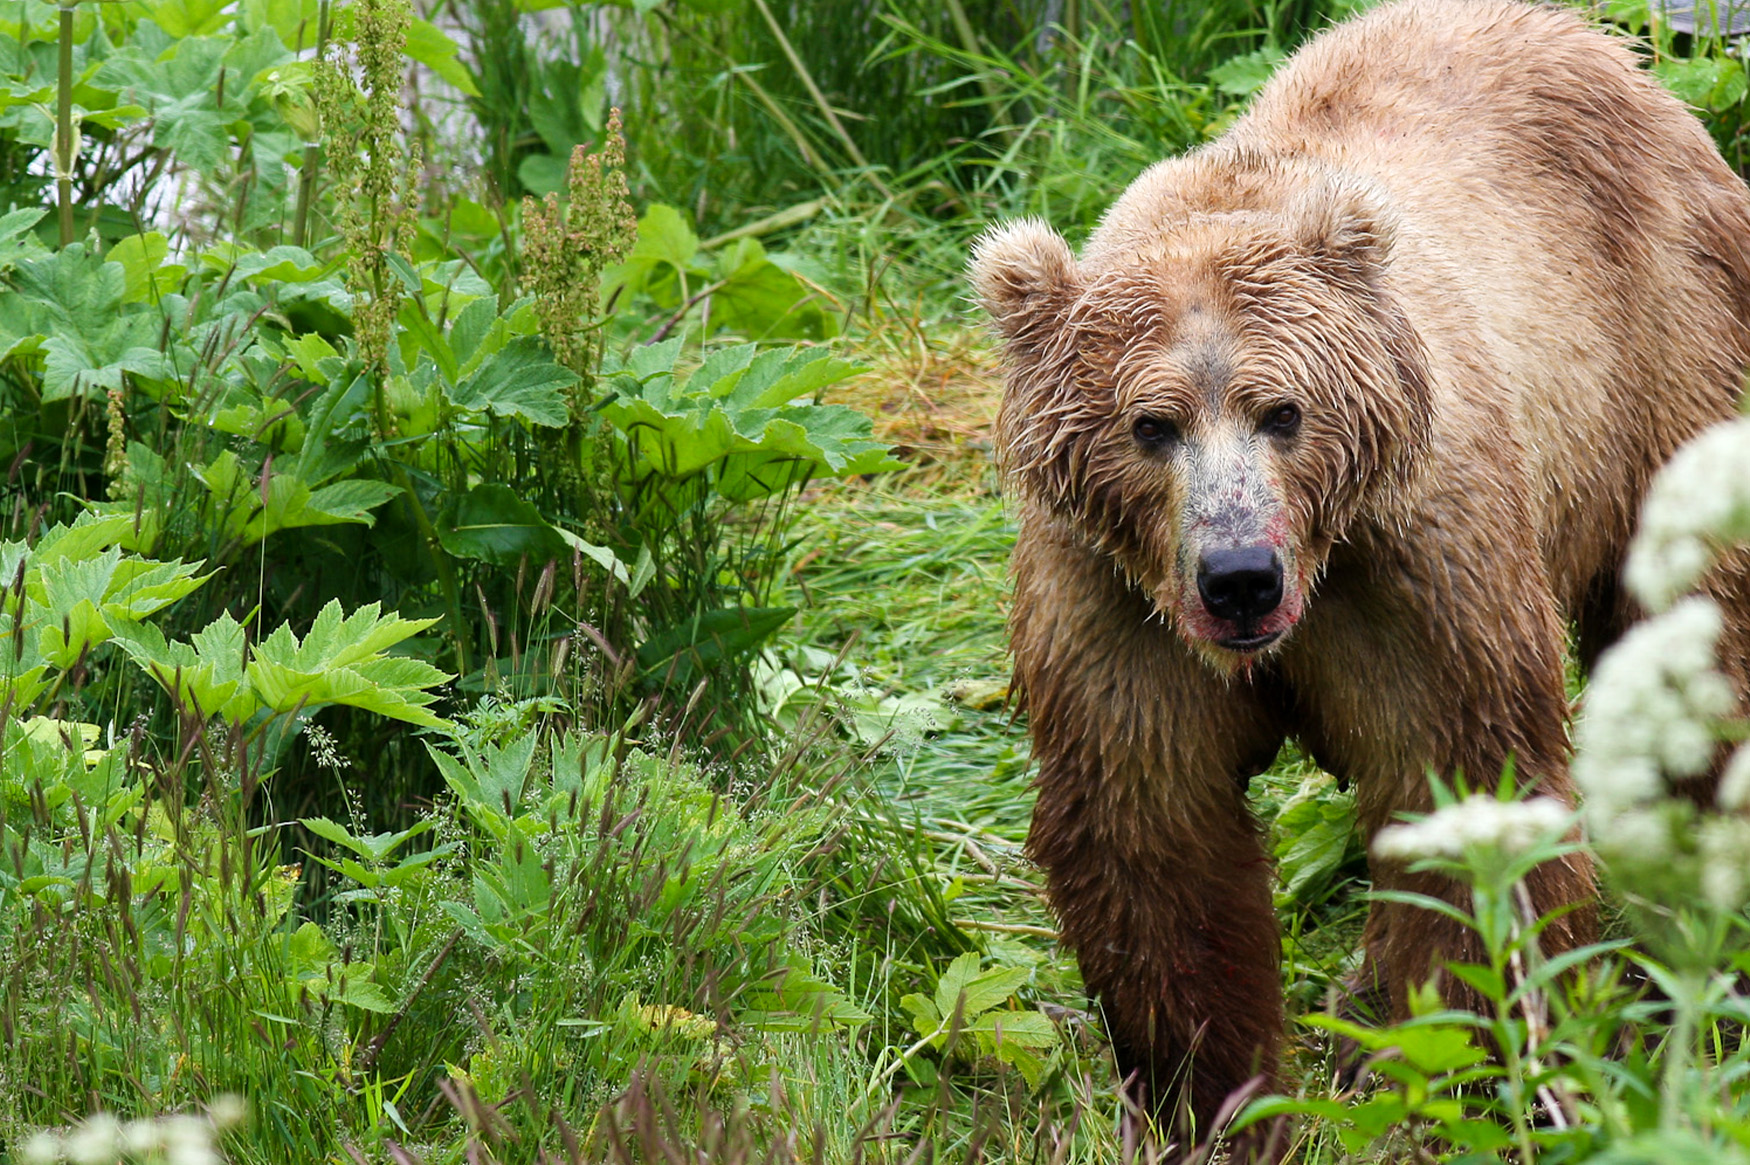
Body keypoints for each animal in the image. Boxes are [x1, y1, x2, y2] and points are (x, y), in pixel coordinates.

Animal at [980, 0, 1750, 1147]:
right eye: (1151, 425)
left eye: (1282, 411)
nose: (1238, 576)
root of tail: (1609, 48)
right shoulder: (1114, 606)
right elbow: (1152, 832)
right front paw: (1214, 1097)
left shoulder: (1414, 568)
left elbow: (1462, 782)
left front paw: (1447, 1065)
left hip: (1664, 361)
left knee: (1696, 636)